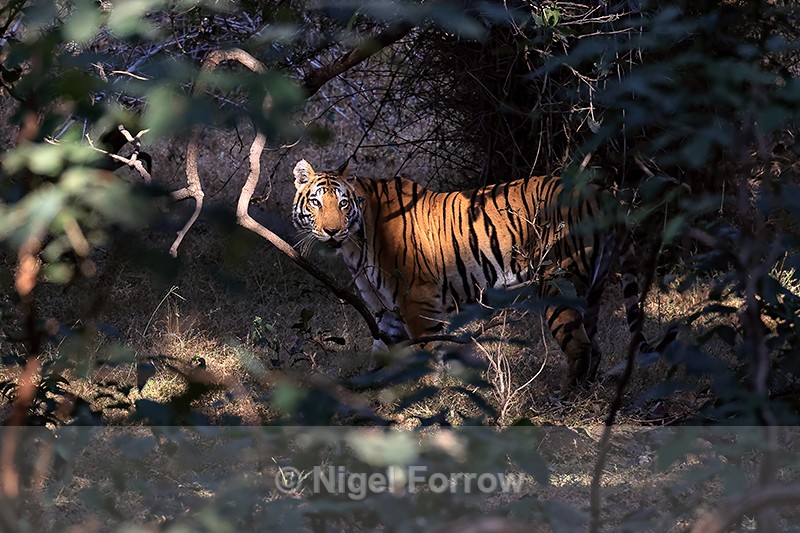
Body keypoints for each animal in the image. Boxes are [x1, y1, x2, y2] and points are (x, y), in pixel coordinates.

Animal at [291, 158, 675, 389]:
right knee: (594, 347)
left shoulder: (418, 300)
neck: (354, 244)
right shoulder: (386, 311)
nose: (331, 231)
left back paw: (563, 401)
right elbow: (380, 357)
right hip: (592, 288)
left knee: (581, 347)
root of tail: (601, 193)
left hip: (559, 283)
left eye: (342, 204)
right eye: (316, 202)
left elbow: (427, 353)